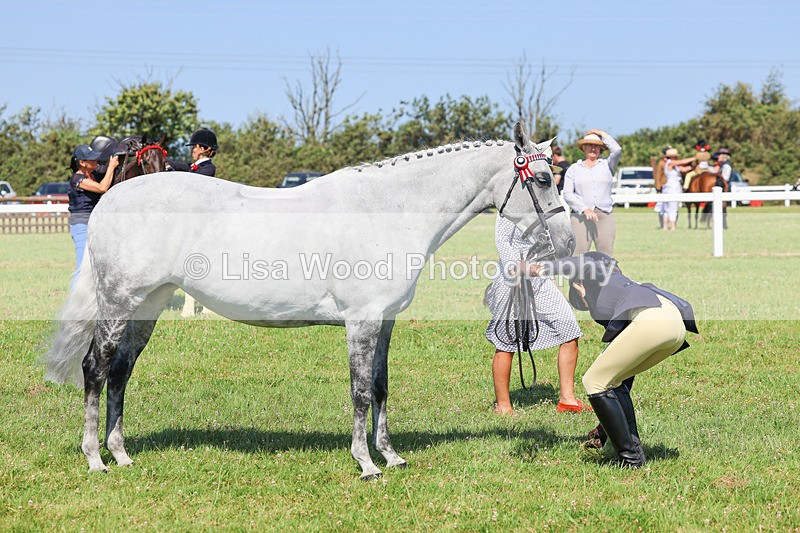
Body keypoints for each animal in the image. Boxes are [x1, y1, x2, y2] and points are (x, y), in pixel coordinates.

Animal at [40, 122, 575, 480]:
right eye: (542, 180)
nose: (568, 244)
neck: (387, 210)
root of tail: (112, 199)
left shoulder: (384, 322)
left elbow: (380, 387)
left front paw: (391, 456)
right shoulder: (361, 321)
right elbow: (360, 391)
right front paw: (366, 464)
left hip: (148, 306)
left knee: (120, 372)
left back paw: (121, 454)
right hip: (118, 302)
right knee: (95, 369)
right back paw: (95, 459)